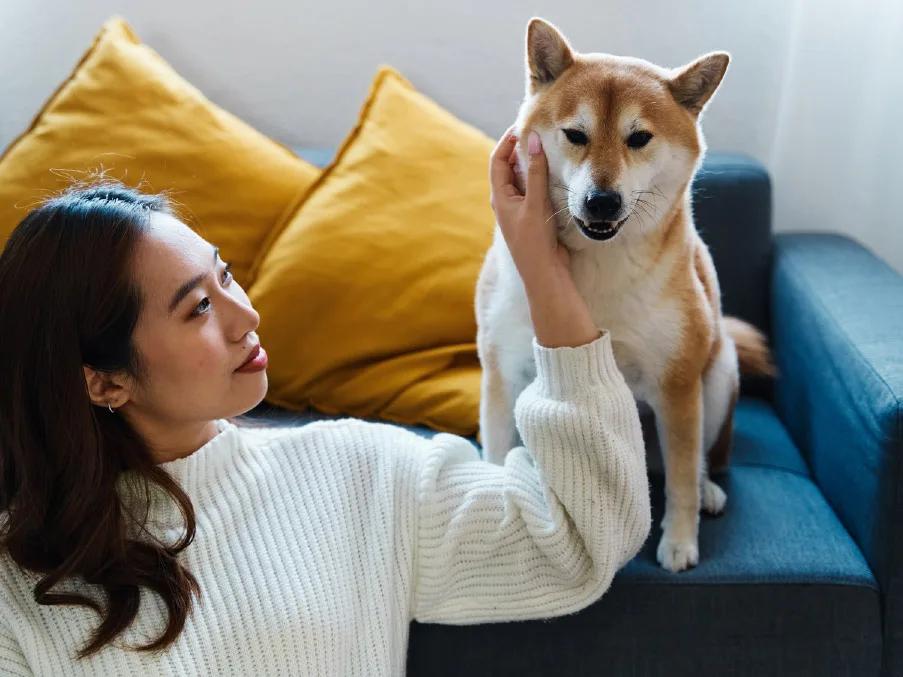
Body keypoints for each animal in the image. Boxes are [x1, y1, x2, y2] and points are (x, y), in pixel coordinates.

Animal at [474, 17, 776, 572]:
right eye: (575, 135)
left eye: (639, 138)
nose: (602, 201)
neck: (596, 268)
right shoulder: (502, 371)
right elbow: (496, 451)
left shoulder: (677, 385)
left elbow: (680, 479)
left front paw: (680, 539)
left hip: (717, 375)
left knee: (697, 461)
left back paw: (708, 491)